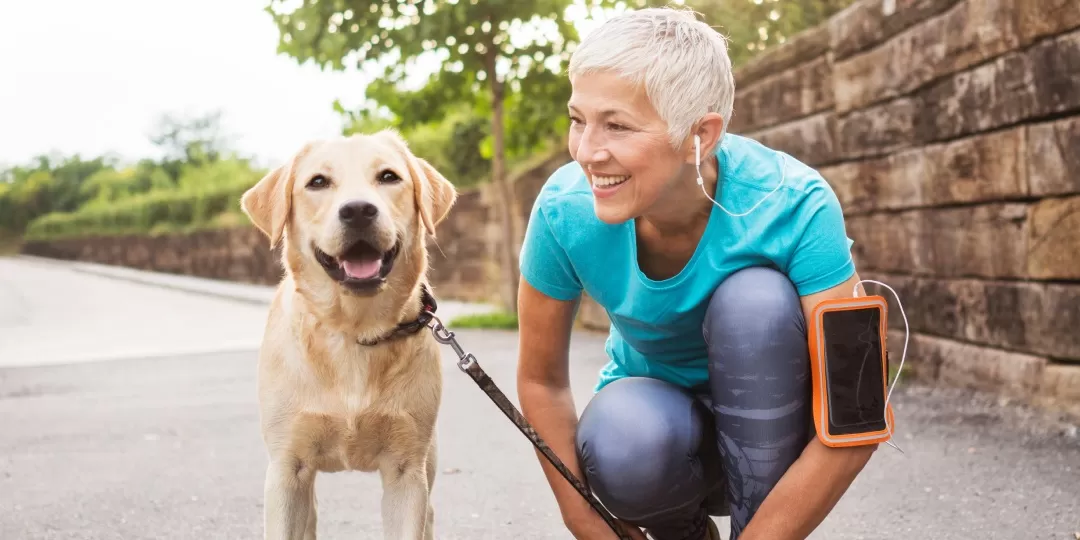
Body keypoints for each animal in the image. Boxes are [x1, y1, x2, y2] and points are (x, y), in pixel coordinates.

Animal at [238, 130, 457, 540]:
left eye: (388, 177)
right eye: (318, 182)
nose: (357, 210)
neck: (355, 332)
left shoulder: (406, 470)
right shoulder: (287, 468)